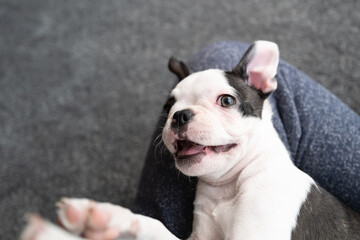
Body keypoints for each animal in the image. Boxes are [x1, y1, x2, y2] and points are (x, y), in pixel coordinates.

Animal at [21, 41, 360, 240]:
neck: (227, 188)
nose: (180, 116)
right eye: (167, 107)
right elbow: (156, 227)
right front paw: (110, 219)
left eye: (226, 101)